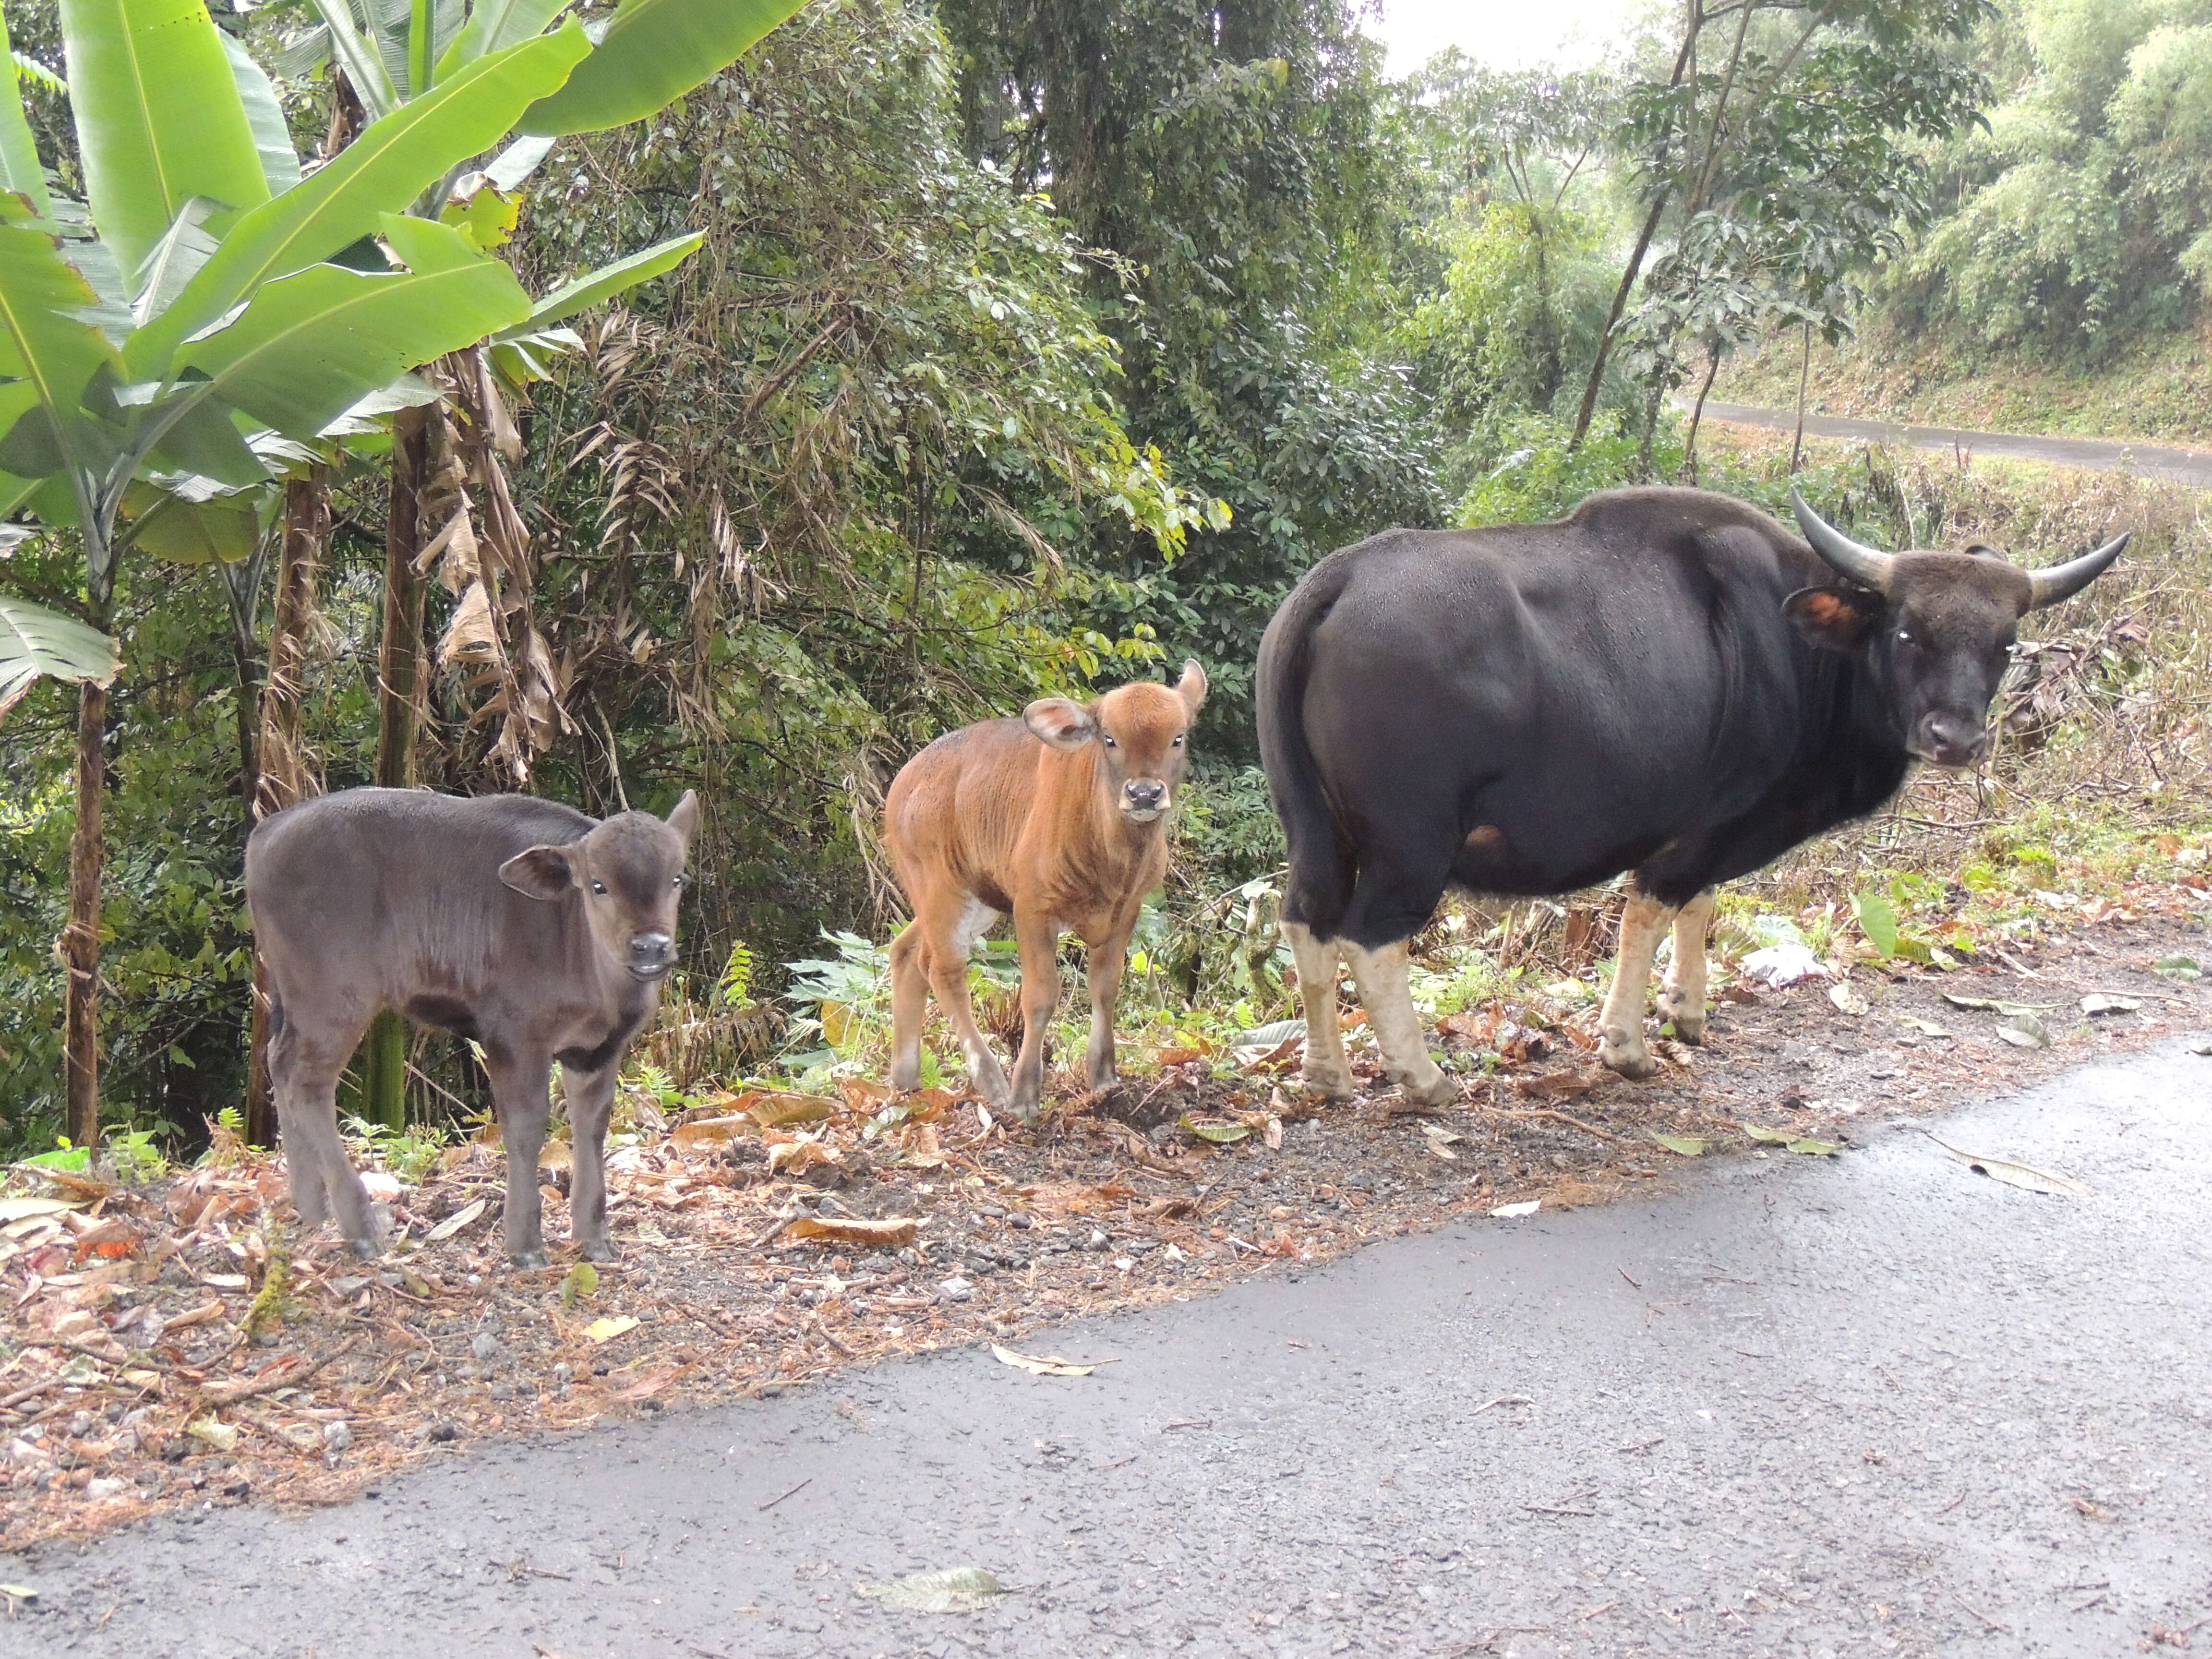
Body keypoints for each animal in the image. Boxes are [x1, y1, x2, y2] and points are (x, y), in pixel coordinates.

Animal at [243, 792, 694, 1274]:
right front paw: (525, 1244)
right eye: (598, 885)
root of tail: (267, 831)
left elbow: (591, 1127)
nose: (651, 946)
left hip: (290, 1000)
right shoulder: (514, 1037)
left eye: (677, 878)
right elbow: (526, 1128)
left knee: (278, 1063)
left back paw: (313, 1207)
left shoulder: (599, 1050)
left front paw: (594, 1239)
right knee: (307, 1082)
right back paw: (360, 1230)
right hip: (332, 1001)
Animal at [885, 659, 1212, 1119]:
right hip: (940, 886)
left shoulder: (1127, 908)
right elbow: (1039, 997)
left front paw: (1104, 1077)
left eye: (1178, 738)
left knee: (907, 953)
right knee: (943, 968)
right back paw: (992, 1081)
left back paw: (906, 1079)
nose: (1144, 794)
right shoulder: (1032, 908)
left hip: (973, 897)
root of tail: (902, 785)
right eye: (1109, 738)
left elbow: (1105, 988)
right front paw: (1024, 1095)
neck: (1111, 857)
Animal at [1256, 486, 2132, 1097]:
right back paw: (1422, 1078)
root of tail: (1334, 581)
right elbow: (1651, 909)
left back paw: (1328, 1074)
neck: (1803, 651)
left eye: (2002, 644)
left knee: (1305, 921)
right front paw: (1628, 1045)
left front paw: (1686, 1011)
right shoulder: (1702, 827)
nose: (1954, 737)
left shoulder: (1719, 831)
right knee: (1370, 938)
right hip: (1412, 845)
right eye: (1908, 630)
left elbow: (1700, 907)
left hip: (1312, 828)